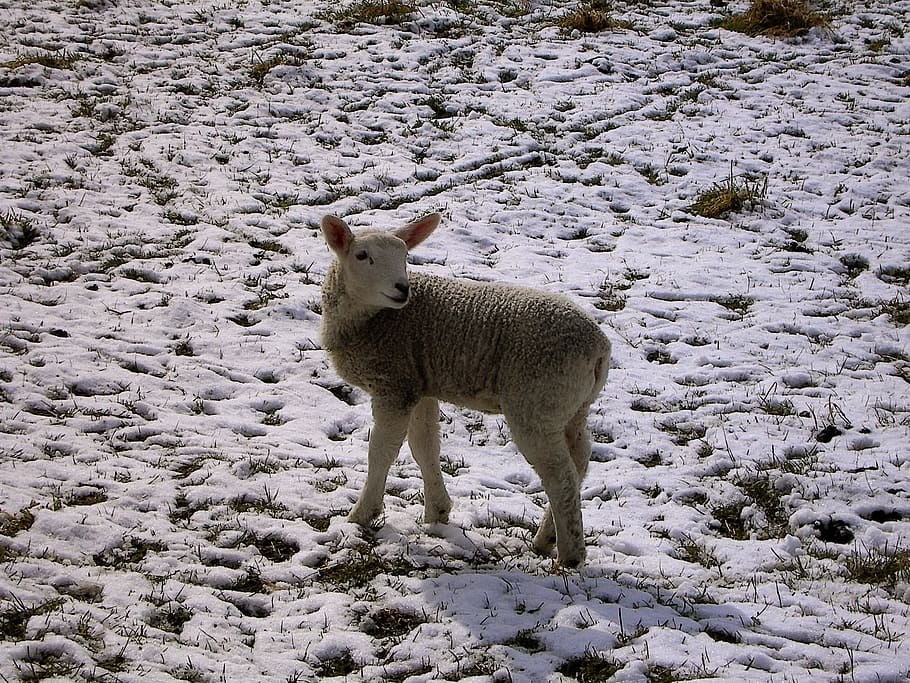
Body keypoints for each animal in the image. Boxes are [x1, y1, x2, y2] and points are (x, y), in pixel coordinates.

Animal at [319, 213, 611, 567]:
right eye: (362, 256)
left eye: (405, 256)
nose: (403, 288)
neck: (375, 321)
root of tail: (598, 347)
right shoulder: (419, 384)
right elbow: (425, 448)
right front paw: (437, 513)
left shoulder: (394, 384)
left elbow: (381, 452)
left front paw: (361, 515)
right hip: (571, 405)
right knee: (579, 459)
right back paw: (546, 538)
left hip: (536, 400)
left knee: (560, 476)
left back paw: (569, 556)